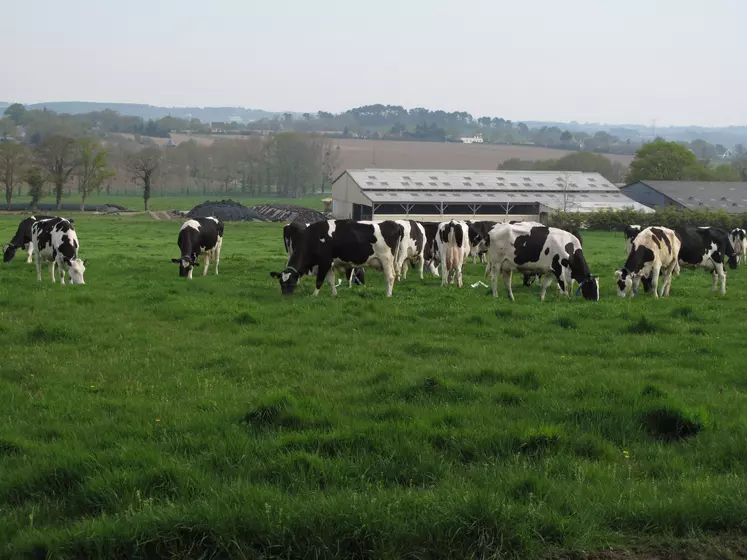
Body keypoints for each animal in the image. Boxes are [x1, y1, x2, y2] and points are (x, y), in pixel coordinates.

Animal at [270, 220, 404, 298]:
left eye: (291, 281)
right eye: (281, 282)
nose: (285, 296)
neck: (315, 237)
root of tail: (395, 224)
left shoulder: (324, 262)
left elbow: (319, 280)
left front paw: (314, 296)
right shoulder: (329, 264)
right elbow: (330, 280)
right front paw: (334, 294)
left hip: (386, 259)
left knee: (390, 277)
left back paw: (388, 295)